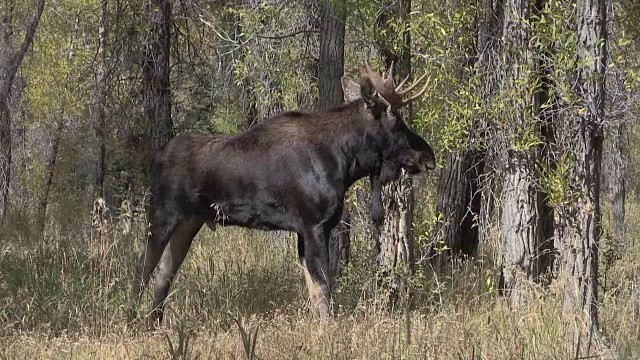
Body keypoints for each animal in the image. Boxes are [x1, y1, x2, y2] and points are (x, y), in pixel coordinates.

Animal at [127, 62, 438, 326]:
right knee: (142, 270)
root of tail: (155, 158)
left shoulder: (304, 230)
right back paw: (132, 322)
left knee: (164, 272)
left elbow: (314, 291)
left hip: (189, 223)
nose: (428, 156)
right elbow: (324, 286)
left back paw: (155, 324)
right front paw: (330, 331)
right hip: (161, 217)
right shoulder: (314, 225)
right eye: (396, 119)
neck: (347, 161)